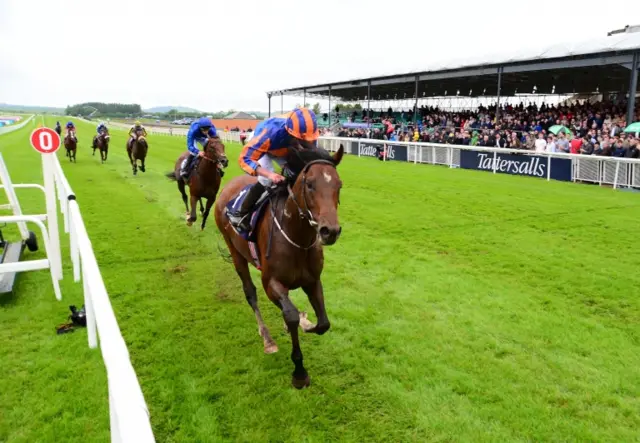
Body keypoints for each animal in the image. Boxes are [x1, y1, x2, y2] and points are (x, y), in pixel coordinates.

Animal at [214, 145, 344, 388]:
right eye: (309, 184)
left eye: (339, 185)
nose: (329, 231)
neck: (298, 238)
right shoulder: (270, 281)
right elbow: (290, 315)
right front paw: (299, 372)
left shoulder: (313, 281)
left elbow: (323, 323)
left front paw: (306, 322)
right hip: (235, 252)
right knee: (250, 294)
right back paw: (267, 338)